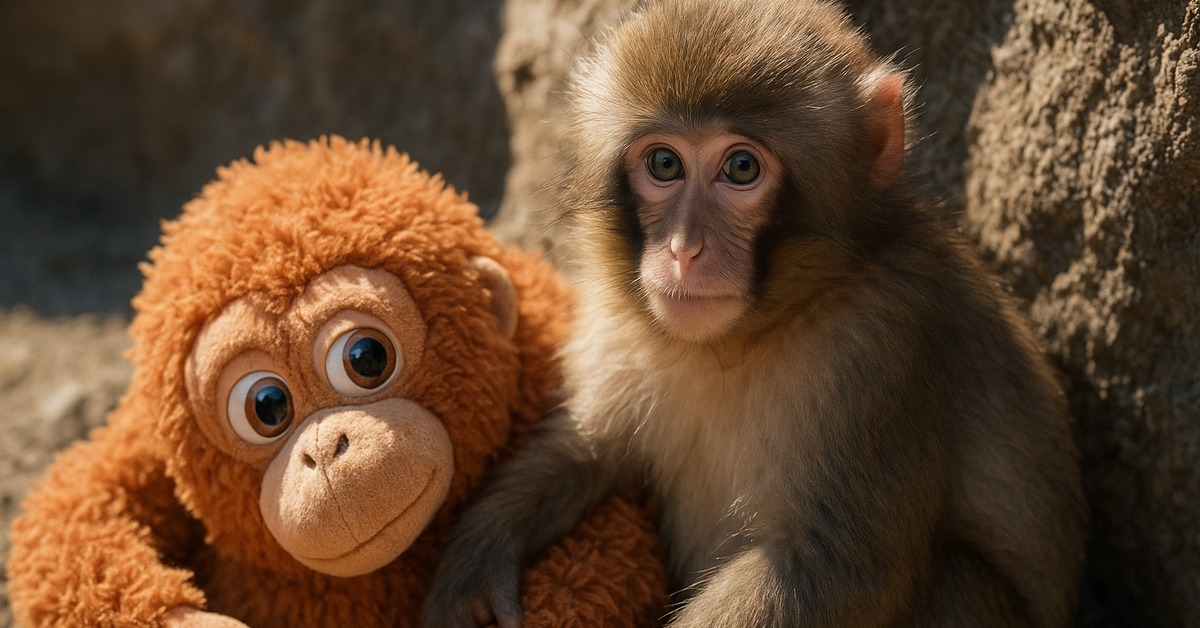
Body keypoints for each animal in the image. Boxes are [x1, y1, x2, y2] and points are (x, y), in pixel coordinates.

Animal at [422, 1, 1087, 626]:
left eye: (741, 168)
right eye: (664, 164)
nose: (683, 250)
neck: (742, 338)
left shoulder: (880, 344)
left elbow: (834, 564)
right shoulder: (616, 317)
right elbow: (587, 448)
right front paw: (475, 566)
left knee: (958, 581)